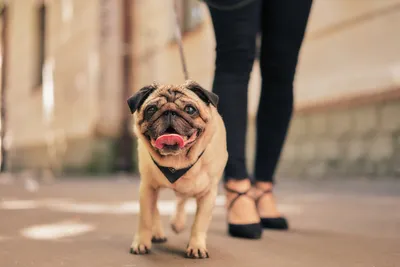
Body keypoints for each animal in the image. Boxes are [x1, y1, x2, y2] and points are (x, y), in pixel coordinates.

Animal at [128, 80, 228, 260]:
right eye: (151, 109)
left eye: (190, 109)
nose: (169, 112)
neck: (178, 161)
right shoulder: (147, 187)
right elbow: (146, 218)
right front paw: (141, 243)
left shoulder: (208, 193)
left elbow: (199, 222)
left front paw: (196, 246)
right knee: (157, 208)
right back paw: (159, 232)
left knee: (182, 199)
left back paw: (178, 223)